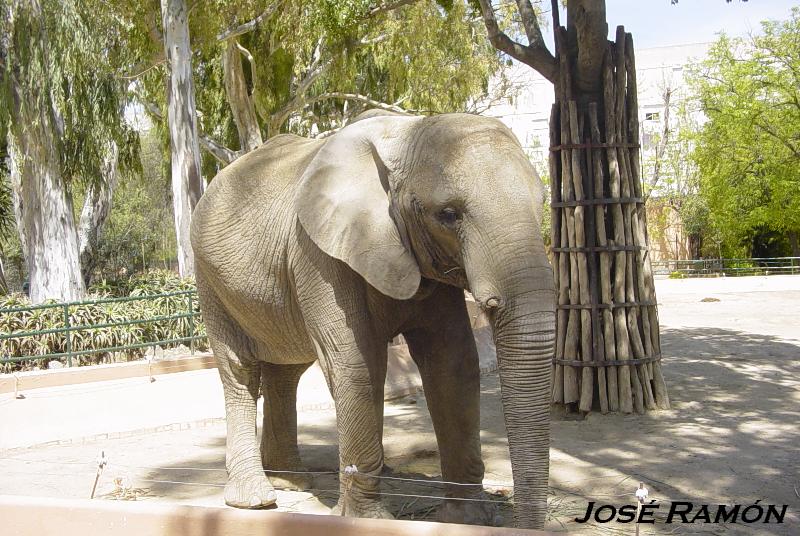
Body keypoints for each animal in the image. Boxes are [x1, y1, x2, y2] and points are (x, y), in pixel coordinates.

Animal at [190, 110, 556, 528]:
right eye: (448, 215)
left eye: (543, 201)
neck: (406, 130)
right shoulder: (318, 253)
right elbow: (356, 363)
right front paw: (369, 520)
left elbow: (453, 362)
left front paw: (467, 518)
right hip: (210, 279)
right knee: (240, 370)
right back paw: (255, 500)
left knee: (287, 370)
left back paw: (291, 481)